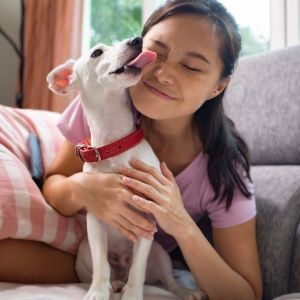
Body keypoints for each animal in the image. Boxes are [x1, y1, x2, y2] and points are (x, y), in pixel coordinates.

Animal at [47, 37, 206, 300]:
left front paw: (132, 295)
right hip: (83, 252)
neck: (115, 143)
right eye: (96, 53)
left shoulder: (146, 223)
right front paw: (98, 291)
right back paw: (114, 283)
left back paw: (184, 291)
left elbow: (138, 271)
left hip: (160, 253)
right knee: (106, 269)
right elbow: (101, 265)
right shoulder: (96, 222)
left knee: (167, 280)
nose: (137, 40)